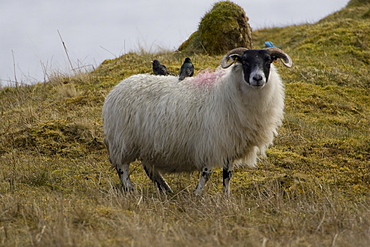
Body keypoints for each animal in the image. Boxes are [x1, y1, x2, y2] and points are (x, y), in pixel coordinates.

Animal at [102, 47, 294, 195]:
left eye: (268, 61)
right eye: (244, 62)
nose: (257, 78)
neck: (228, 92)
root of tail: (116, 89)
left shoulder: (230, 144)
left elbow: (227, 175)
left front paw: (226, 197)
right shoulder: (211, 142)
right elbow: (207, 174)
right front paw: (197, 194)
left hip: (147, 143)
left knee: (150, 169)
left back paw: (166, 190)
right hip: (122, 140)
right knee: (122, 168)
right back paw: (130, 190)